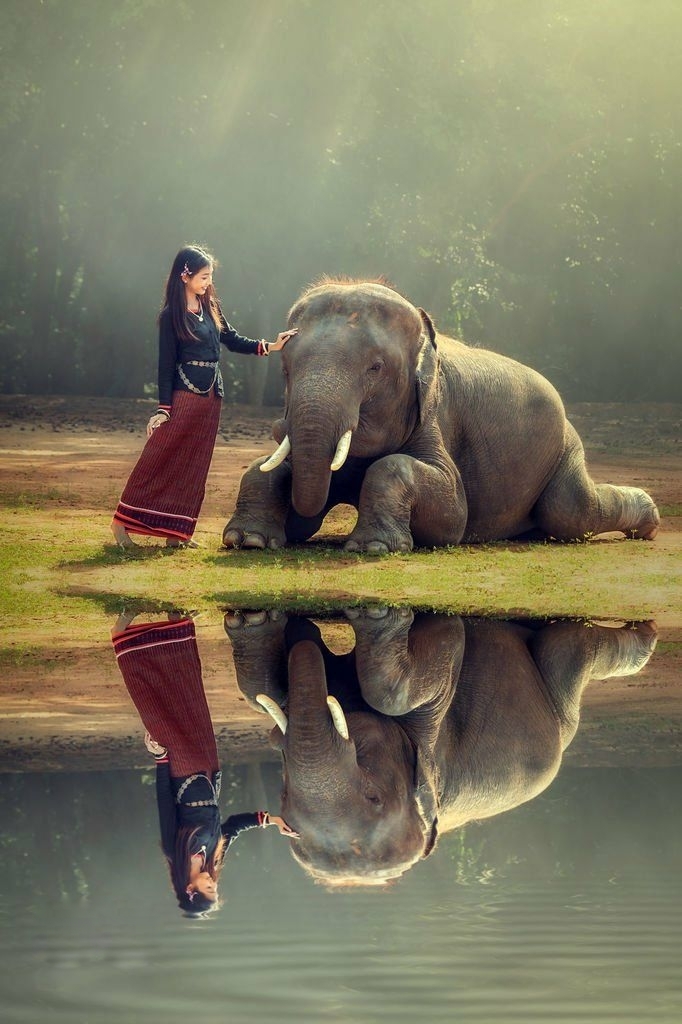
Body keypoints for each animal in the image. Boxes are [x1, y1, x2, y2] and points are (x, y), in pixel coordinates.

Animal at [223, 279, 659, 551]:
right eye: (285, 369)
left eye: (375, 368)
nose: (276, 426)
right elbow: (275, 481)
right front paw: (249, 542)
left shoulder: (435, 415)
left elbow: (451, 513)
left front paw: (373, 547)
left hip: (566, 447)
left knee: (569, 512)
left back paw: (649, 521)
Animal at [224, 607, 658, 886]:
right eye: (284, 802)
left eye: (373, 797)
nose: (302, 624)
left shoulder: (431, 735)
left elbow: (440, 646)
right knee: (570, 645)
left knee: (569, 642)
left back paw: (647, 631)